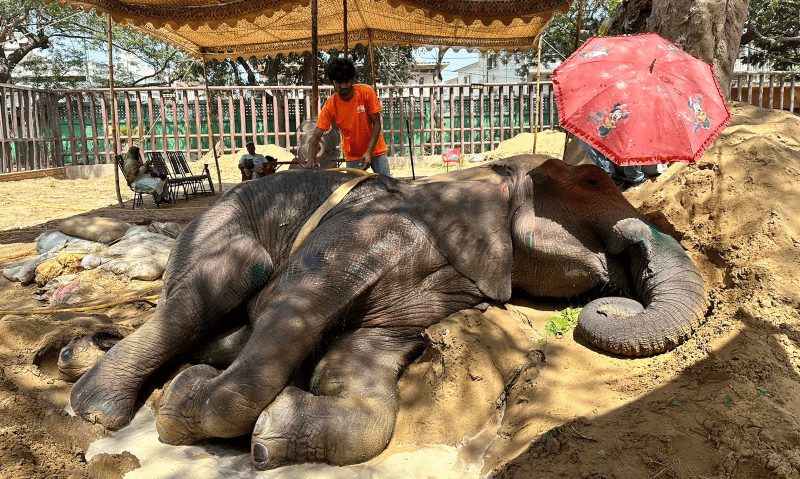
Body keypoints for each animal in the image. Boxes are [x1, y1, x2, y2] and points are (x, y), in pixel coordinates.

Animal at [69, 156, 708, 470]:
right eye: (594, 179)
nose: (615, 297)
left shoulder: (431, 295)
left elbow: (363, 362)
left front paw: (273, 437)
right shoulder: (364, 232)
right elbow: (290, 308)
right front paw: (185, 403)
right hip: (218, 227)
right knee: (209, 292)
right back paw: (96, 407)